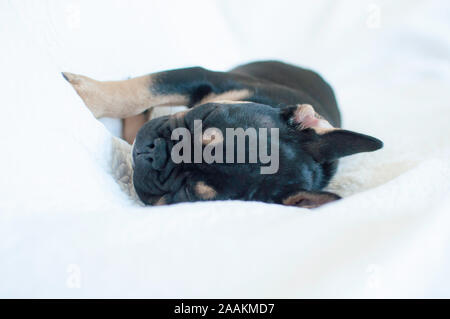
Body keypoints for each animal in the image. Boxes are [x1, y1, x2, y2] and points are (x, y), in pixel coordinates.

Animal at [61, 61, 382, 209]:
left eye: (189, 192)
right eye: (207, 116)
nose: (153, 153)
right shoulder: (204, 77)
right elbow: (143, 89)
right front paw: (85, 93)